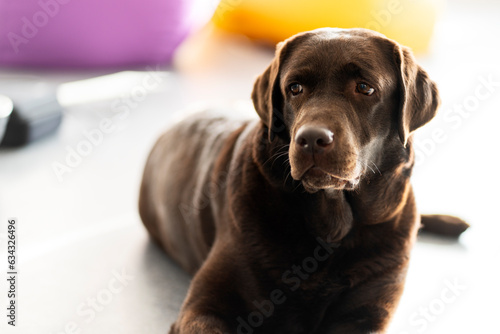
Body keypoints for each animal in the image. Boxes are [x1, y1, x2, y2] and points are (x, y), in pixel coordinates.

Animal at [138, 28, 468, 334]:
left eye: (365, 88)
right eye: (294, 88)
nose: (311, 139)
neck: (331, 226)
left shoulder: (368, 312)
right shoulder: (205, 306)